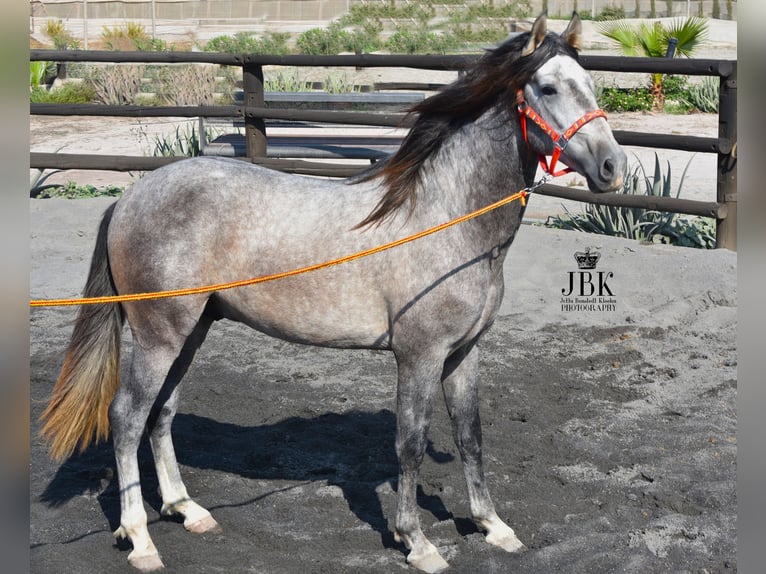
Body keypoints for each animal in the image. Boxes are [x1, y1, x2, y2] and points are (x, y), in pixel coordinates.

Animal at [42, 13, 628, 574]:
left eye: (591, 84)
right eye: (547, 88)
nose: (613, 167)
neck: (446, 217)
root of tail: (130, 197)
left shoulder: (464, 352)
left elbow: (471, 435)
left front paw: (493, 527)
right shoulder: (418, 355)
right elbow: (409, 444)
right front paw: (416, 542)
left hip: (192, 330)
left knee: (161, 413)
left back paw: (187, 510)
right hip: (159, 334)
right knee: (126, 417)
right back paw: (140, 539)